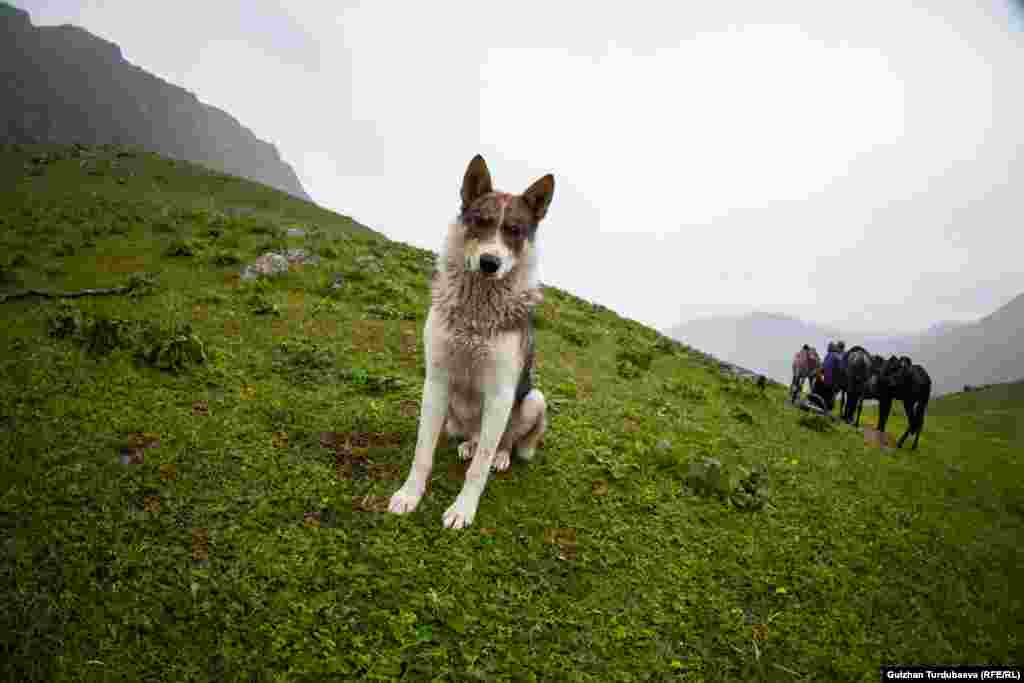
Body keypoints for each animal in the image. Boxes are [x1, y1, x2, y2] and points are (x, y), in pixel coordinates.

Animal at [387, 153, 557, 528]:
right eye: (481, 221)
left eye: (514, 231)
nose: (489, 262)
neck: (477, 310)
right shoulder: (436, 380)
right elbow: (423, 451)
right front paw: (410, 495)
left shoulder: (501, 393)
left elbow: (478, 469)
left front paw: (462, 510)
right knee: (473, 438)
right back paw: (467, 444)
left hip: (533, 399)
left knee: (502, 441)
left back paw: (501, 456)